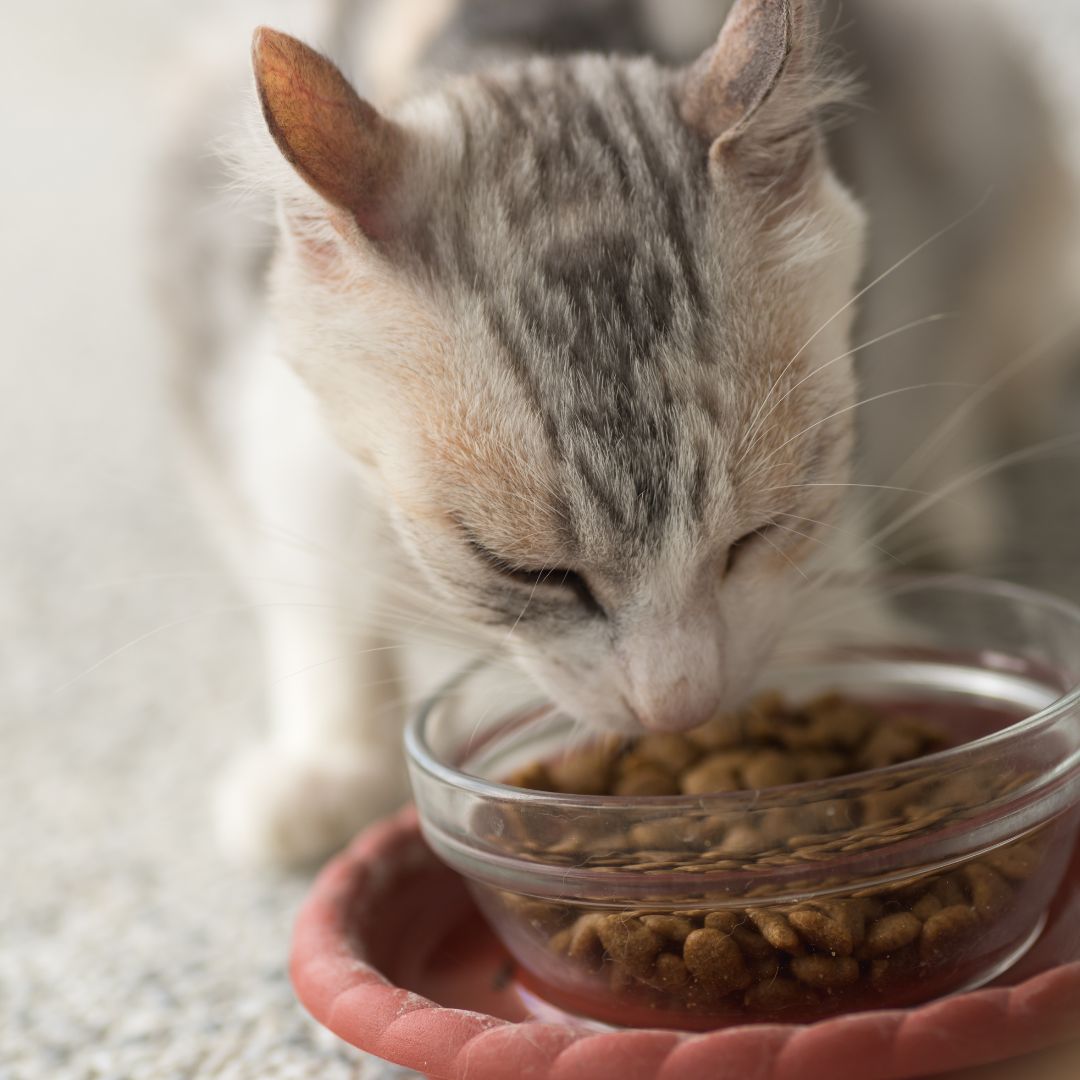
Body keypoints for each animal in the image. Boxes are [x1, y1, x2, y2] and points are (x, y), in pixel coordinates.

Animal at [152, 0, 1071, 859]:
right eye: (529, 572)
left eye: (760, 531)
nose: (679, 707)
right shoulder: (250, 390)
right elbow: (315, 581)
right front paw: (332, 759)